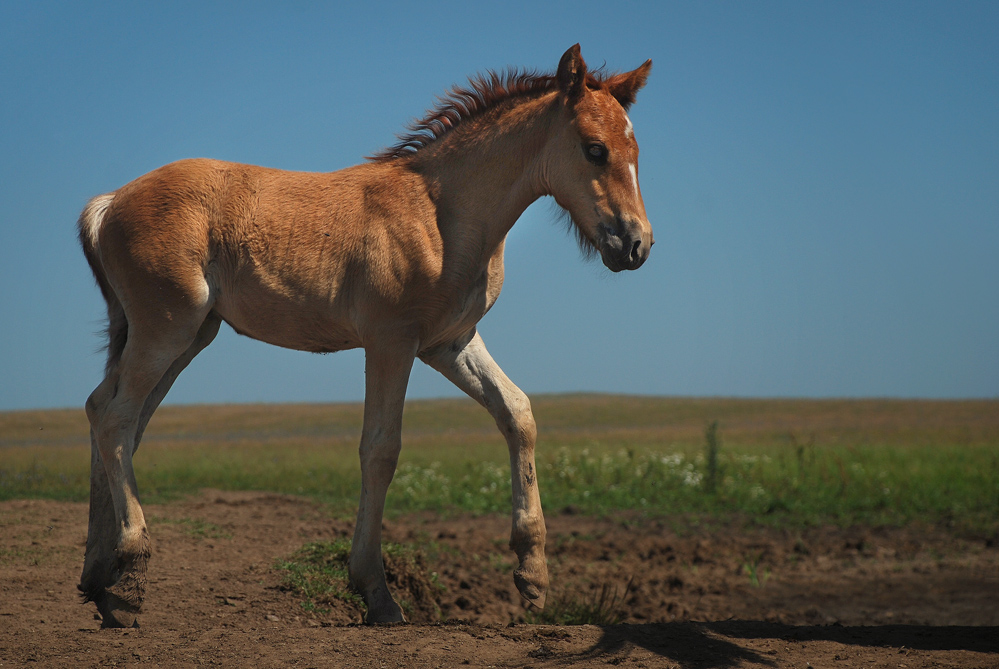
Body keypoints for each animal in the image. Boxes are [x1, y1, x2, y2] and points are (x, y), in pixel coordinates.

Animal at [80, 44, 656, 624]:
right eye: (595, 150)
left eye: (636, 150)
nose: (636, 245)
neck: (443, 214)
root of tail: (109, 202)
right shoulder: (390, 341)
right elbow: (381, 449)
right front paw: (376, 591)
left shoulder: (450, 343)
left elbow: (518, 413)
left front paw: (532, 574)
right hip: (167, 328)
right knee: (116, 418)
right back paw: (130, 576)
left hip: (190, 334)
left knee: (110, 414)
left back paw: (99, 576)